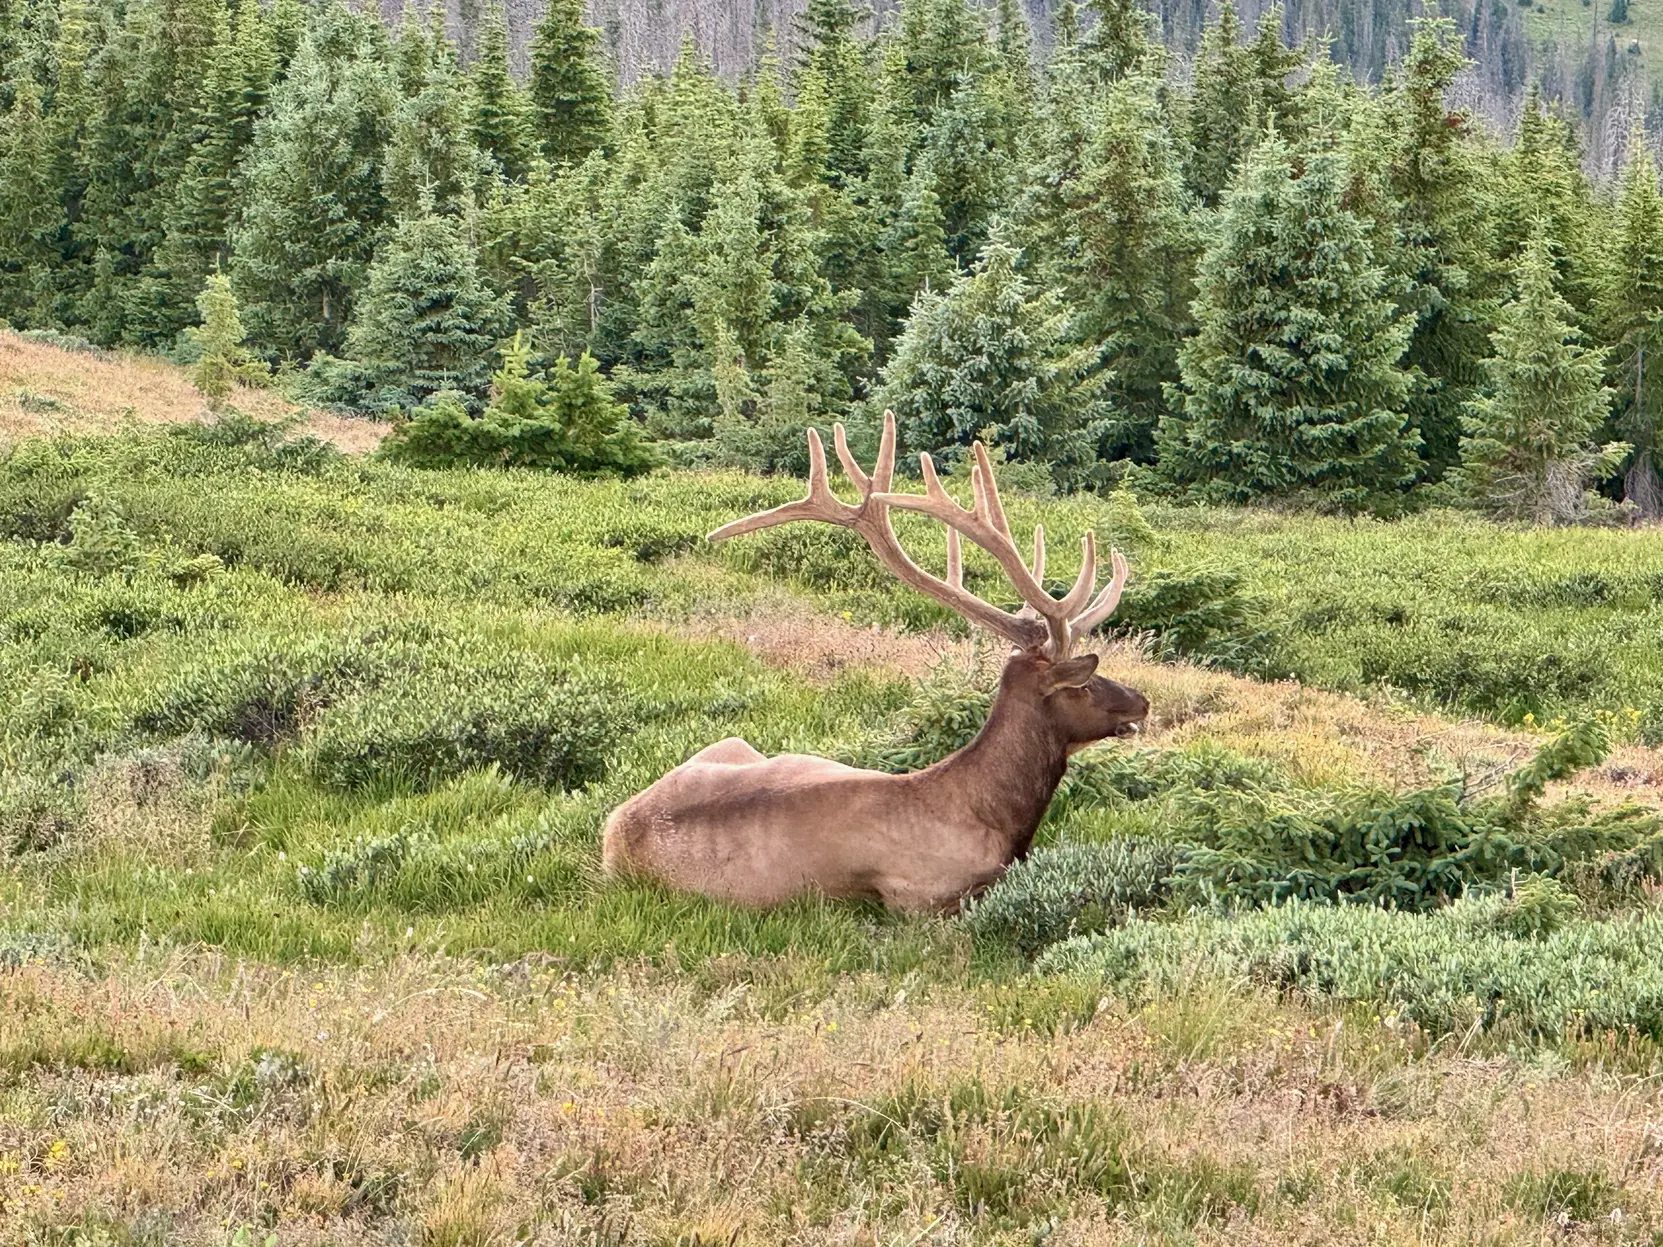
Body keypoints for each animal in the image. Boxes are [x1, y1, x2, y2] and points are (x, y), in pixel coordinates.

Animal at [602, 412, 1150, 913]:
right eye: (1085, 682)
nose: (1141, 701)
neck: (992, 819)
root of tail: (613, 829)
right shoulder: (918, 900)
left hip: (737, 745)